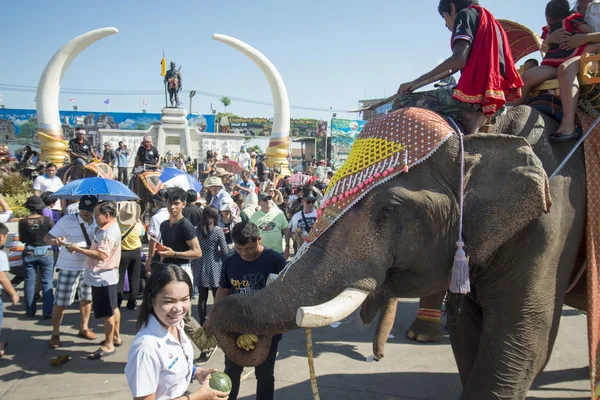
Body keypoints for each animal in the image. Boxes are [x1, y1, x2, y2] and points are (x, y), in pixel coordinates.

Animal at [210, 104, 592, 398]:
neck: (483, 135)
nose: (377, 357)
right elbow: (466, 331)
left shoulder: (551, 226)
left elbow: (522, 341)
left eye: (390, 208)